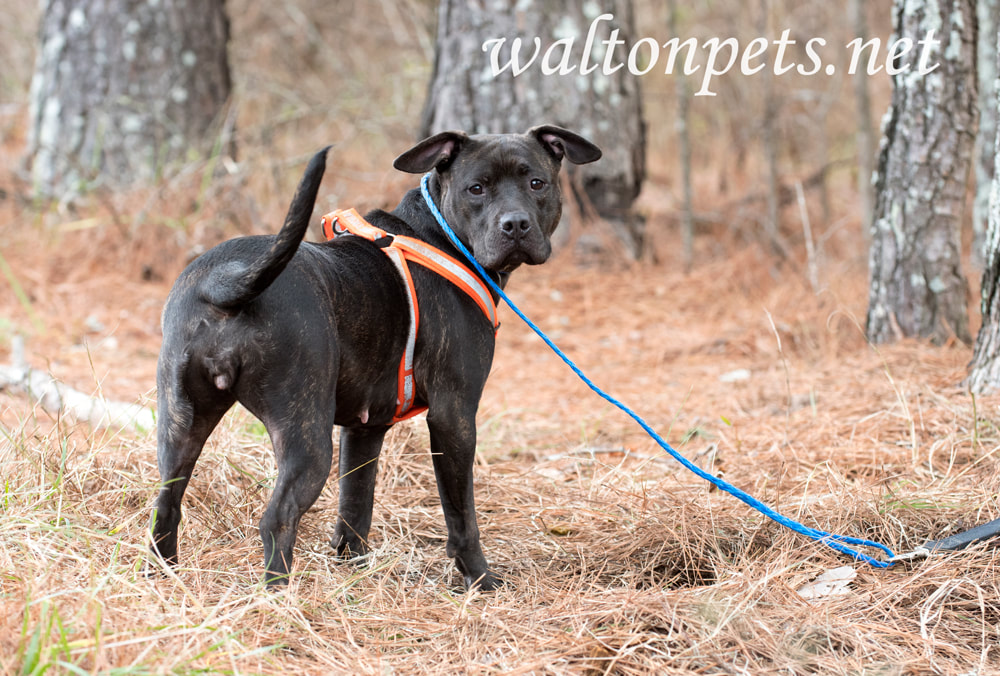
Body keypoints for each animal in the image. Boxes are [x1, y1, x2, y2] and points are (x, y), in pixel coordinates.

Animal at [149, 127, 600, 592]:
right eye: (476, 188)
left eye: (537, 183)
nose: (515, 225)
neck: (442, 238)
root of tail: (227, 281)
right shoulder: (454, 416)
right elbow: (462, 516)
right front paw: (481, 580)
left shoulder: (365, 428)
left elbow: (355, 506)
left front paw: (354, 568)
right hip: (306, 436)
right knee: (277, 519)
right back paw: (279, 598)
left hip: (180, 425)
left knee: (167, 504)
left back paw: (163, 578)